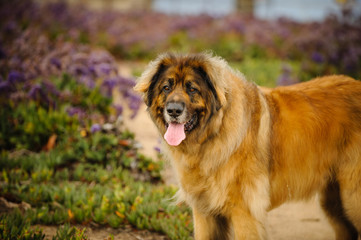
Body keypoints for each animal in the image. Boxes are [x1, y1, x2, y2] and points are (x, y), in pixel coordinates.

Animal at [133, 53, 360, 240]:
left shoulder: (245, 212)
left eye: (192, 88)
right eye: (166, 87)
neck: (212, 134)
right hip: (334, 200)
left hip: (352, 196)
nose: (173, 110)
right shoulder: (205, 212)